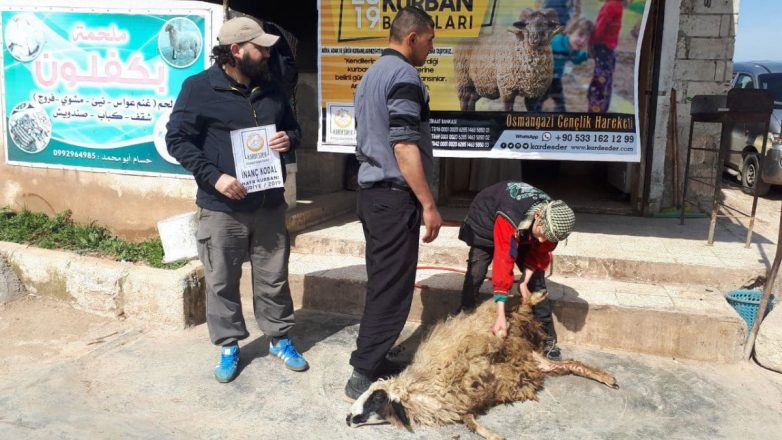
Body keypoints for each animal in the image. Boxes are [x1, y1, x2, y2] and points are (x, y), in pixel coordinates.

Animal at [348, 292, 620, 440]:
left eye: (377, 398)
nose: (349, 418)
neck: (422, 390)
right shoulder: (464, 404)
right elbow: (471, 424)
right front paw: (494, 435)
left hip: (510, 317)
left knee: (520, 302)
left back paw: (536, 295)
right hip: (536, 363)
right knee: (571, 364)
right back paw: (608, 378)